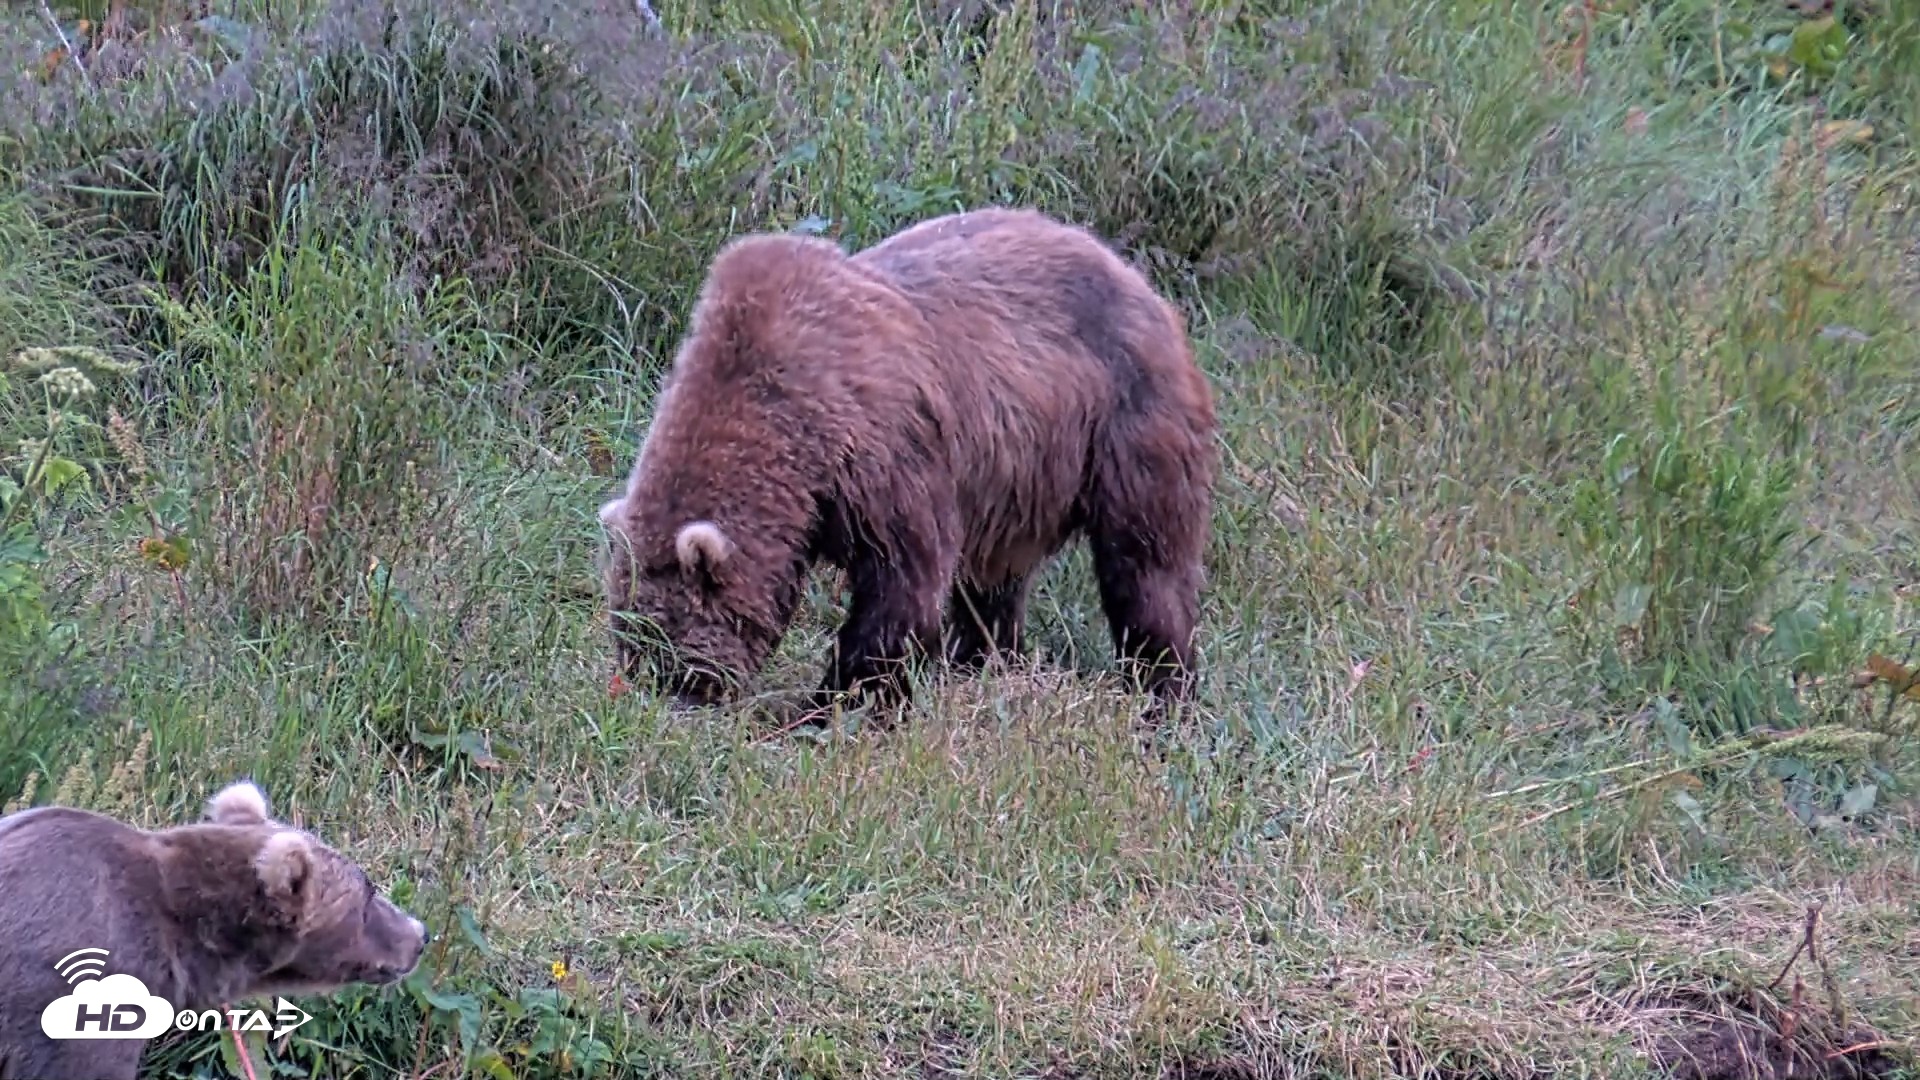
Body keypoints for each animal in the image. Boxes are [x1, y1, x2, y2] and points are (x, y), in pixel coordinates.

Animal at [596, 205, 1219, 723]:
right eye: (630, 639)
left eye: (665, 645)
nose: (659, 701)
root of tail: (1137, 278)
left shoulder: (885, 453)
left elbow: (902, 582)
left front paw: (835, 708)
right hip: (1017, 477)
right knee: (995, 582)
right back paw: (983, 662)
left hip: (1125, 422)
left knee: (1145, 565)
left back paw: (1162, 693)